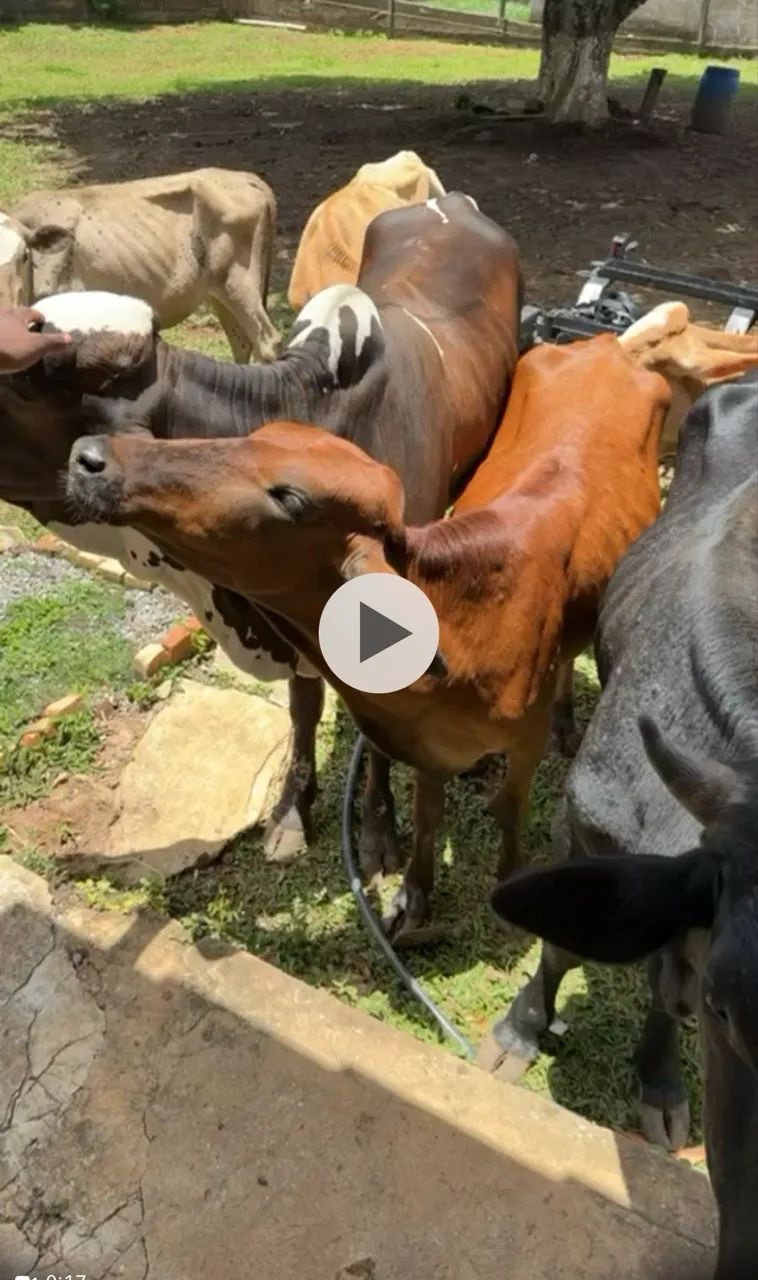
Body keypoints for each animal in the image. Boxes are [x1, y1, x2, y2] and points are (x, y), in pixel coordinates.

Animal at [0, 169, 279, 363]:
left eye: (25, 256)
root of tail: (244, 177)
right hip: (220, 293)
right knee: (242, 343)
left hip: (239, 284)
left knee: (266, 342)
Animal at [63, 334, 673, 941]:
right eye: (252, 437)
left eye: (289, 498)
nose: (90, 456)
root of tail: (603, 344)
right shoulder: (427, 747)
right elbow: (427, 816)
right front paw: (414, 897)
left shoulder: (522, 739)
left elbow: (508, 807)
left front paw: (506, 894)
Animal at [486, 372, 758, 1280]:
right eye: (730, 1009)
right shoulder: (584, 827)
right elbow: (561, 946)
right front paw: (517, 1031)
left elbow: (658, 994)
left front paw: (661, 1086)